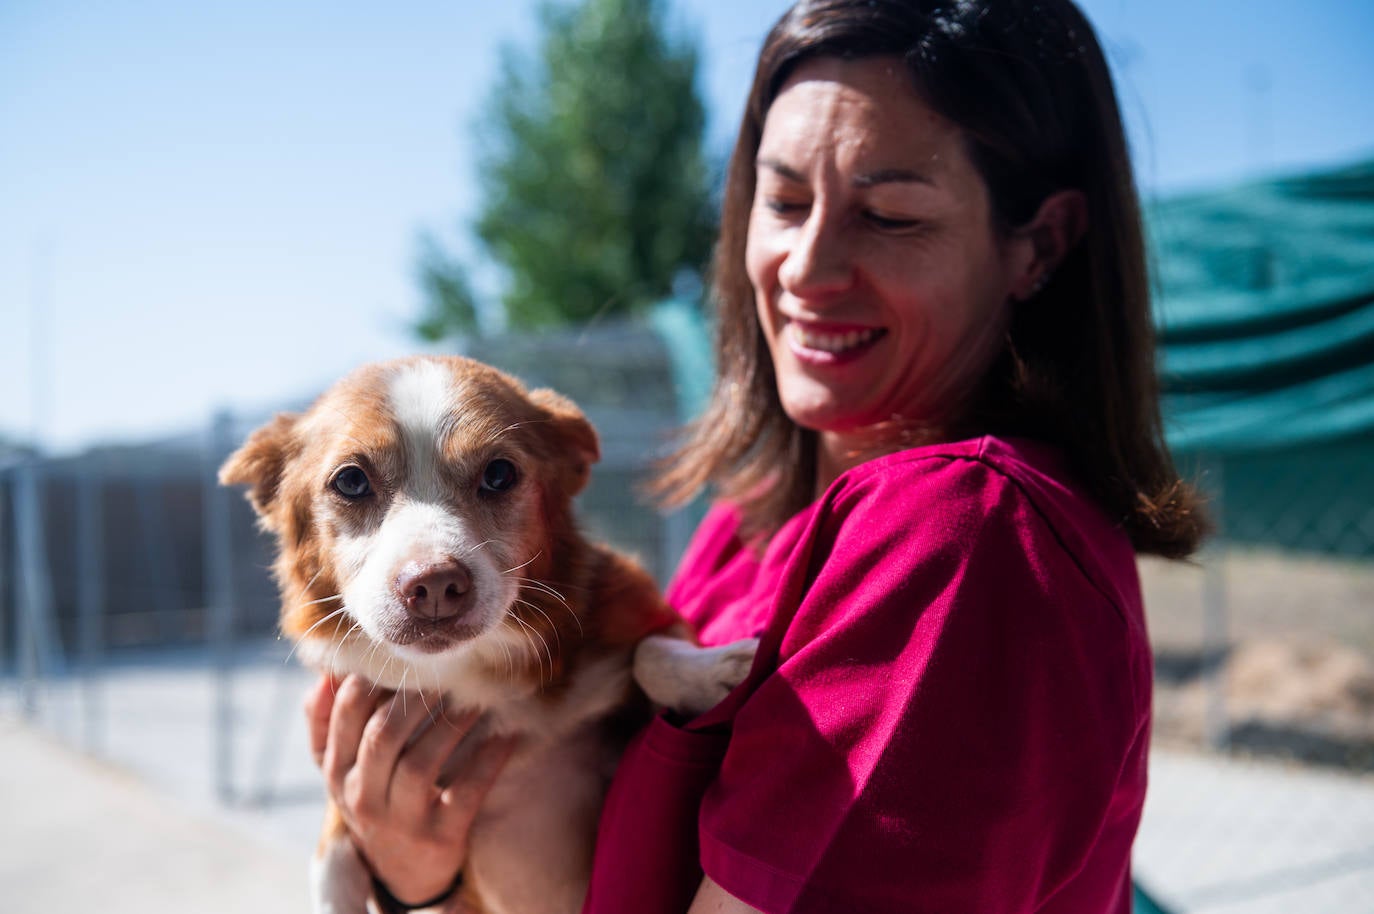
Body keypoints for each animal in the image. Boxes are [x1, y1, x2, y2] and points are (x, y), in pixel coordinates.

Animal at [225, 357, 758, 912]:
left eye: (499, 475)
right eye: (350, 481)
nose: (435, 584)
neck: (465, 674)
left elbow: (646, 652)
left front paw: (713, 672)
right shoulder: (346, 777)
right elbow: (331, 855)